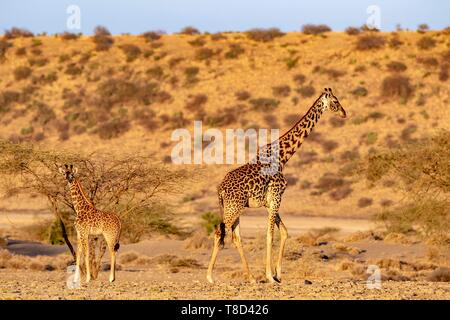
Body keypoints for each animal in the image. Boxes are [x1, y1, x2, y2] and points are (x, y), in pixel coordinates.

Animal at [207, 87, 348, 282]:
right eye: (335, 101)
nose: (344, 113)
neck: (283, 156)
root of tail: (220, 189)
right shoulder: (276, 197)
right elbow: (270, 235)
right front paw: (270, 276)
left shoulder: (270, 202)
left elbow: (284, 232)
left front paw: (278, 274)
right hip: (233, 207)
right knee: (220, 232)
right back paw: (210, 277)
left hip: (235, 208)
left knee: (236, 237)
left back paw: (251, 277)